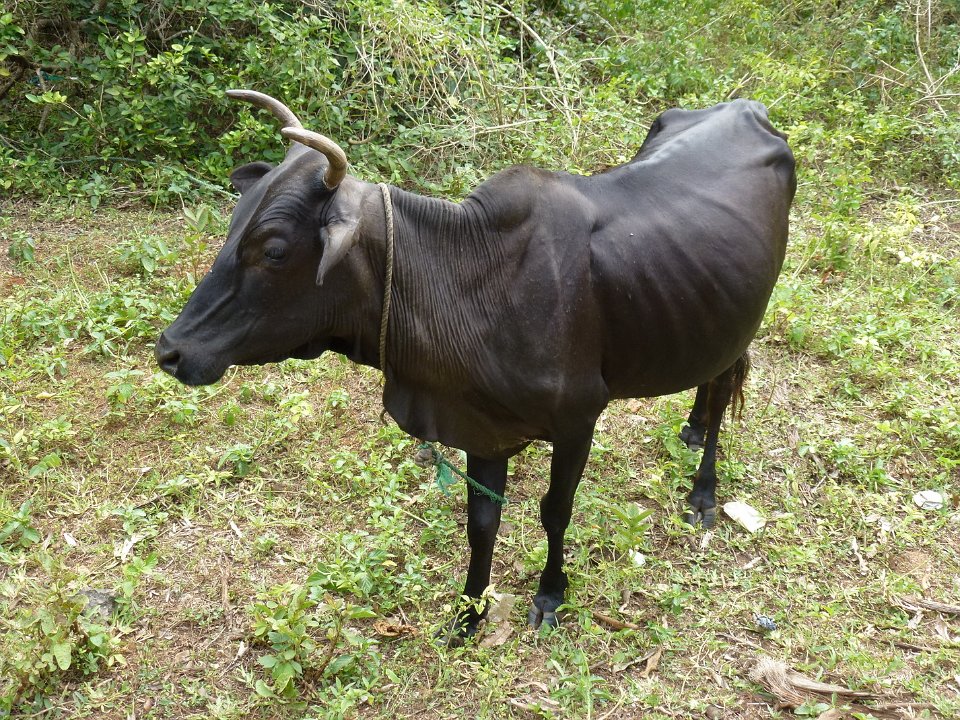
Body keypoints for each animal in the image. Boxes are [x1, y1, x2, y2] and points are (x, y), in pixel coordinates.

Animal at [156, 90, 796, 639]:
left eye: (274, 250)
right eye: (233, 226)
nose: (172, 350)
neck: (470, 279)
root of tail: (747, 107)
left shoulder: (578, 422)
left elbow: (554, 511)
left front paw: (550, 595)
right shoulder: (483, 427)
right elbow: (481, 523)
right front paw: (468, 614)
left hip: (746, 313)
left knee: (725, 386)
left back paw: (705, 490)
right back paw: (691, 428)